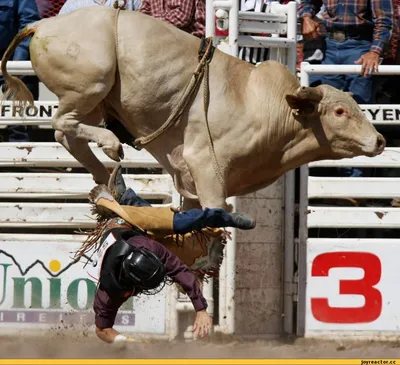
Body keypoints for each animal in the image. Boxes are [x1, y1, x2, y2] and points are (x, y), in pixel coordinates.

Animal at [0, 5, 388, 209]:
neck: (266, 106)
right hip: (89, 85)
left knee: (67, 134)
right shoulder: (207, 167)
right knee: (63, 124)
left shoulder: (188, 179)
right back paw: (110, 147)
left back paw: (105, 176)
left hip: (95, 100)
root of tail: (43, 23)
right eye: (339, 111)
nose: (380, 141)